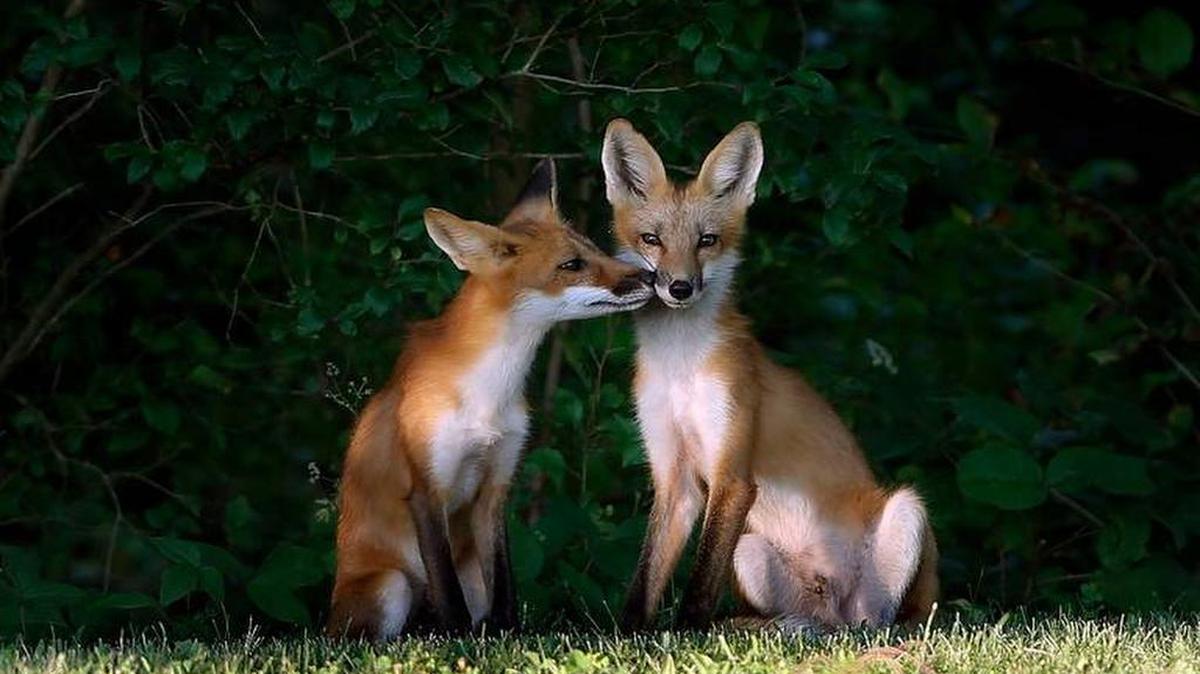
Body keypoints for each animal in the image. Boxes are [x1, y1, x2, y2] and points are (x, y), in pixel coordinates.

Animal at [327, 159, 654, 639]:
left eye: (595, 249)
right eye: (572, 265)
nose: (652, 276)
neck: (489, 393)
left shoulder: (496, 486)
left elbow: (505, 588)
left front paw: (506, 636)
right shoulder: (426, 489)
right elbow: (448, 594)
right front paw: (457, 640)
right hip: (391, 587)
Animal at [600, 119, 938, 631]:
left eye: (707, 240)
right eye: (651, 240)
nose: (680, 287)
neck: (680, 367)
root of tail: (835, 605)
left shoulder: (733, 470)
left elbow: (700, 582)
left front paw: (686, 634)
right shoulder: (674, 477)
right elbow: (645, 579)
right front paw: (627, 635)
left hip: (907, 515)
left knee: (881, 622)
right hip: (751, 552)